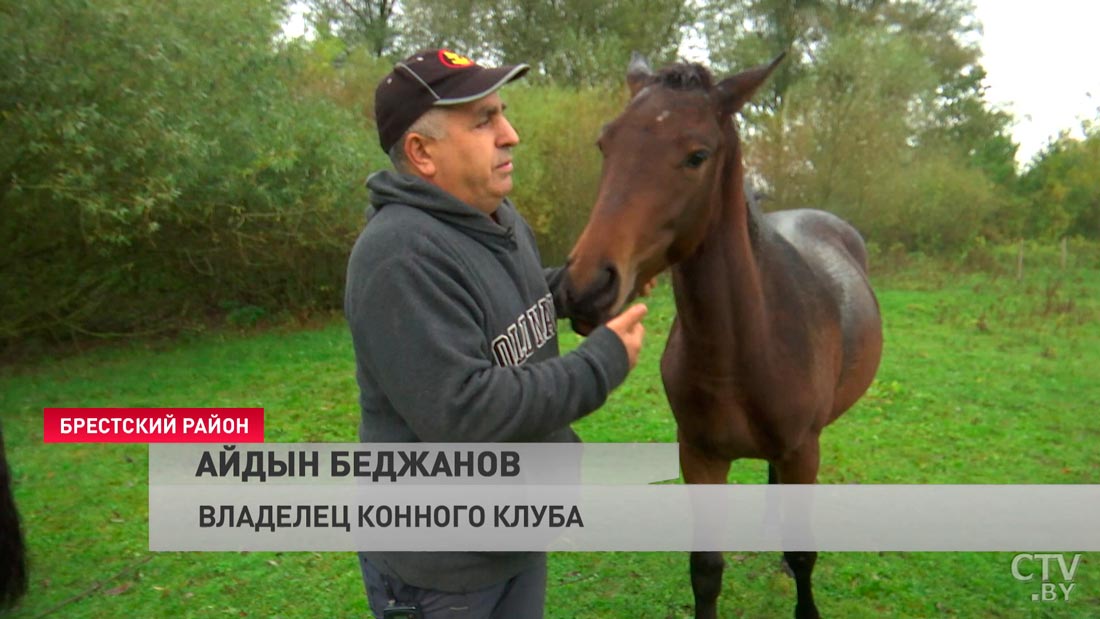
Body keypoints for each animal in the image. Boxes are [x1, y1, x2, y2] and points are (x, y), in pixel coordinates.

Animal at [563, 55, 888, 615]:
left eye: (697, 155)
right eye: (606, 143)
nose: (586, 287)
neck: (742, 353)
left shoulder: (803, 450)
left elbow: (804, 554)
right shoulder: (700, 455)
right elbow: (706, 569)